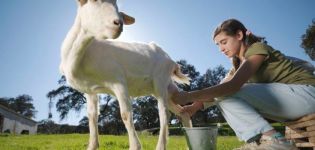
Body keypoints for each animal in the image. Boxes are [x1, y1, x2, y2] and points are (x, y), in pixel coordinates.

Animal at [59, 0, 193, 149]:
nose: (118, 23)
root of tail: (171, 61)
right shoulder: (90, 91)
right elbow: (92, 117)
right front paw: (92, 146)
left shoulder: (118, 81)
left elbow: (125, 114)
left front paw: (135, 146)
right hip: (165, 88)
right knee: (182, 111)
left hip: (160, 81)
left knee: (164, 113)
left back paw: (161, 146)